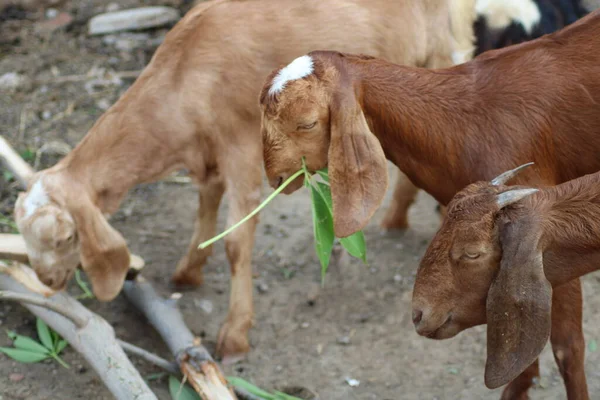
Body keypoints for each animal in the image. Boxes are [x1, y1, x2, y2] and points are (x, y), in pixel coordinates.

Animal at [11, 0, 476, 362]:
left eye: (62, 238)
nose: (47, 283)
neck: (185, 75)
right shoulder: (208, 153)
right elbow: (204, 209)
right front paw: (187, 272)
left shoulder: (243, 150)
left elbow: (236, 244)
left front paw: (234, 335)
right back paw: (399, 216)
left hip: (443, 49)